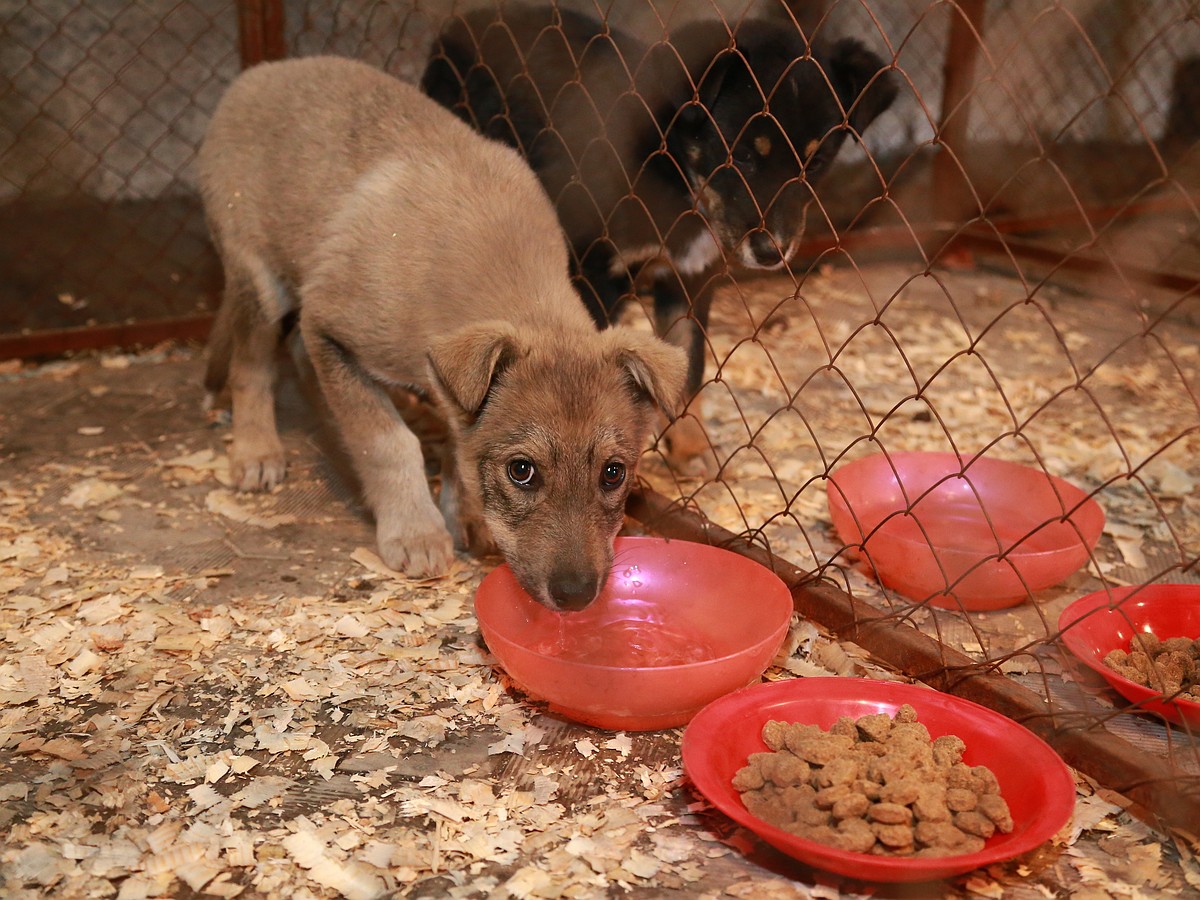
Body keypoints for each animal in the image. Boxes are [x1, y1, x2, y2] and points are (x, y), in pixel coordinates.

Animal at [196, 58, 686, 614]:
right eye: (522, 471)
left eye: (613, 473)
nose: (576, 596)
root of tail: (260, 71)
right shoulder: (331, 328)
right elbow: (387, 441)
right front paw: (415, 532)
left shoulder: (443, 388)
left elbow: (456, 444)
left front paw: (465, 514)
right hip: (260, 281)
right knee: (252, 364)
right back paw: (256, 451)